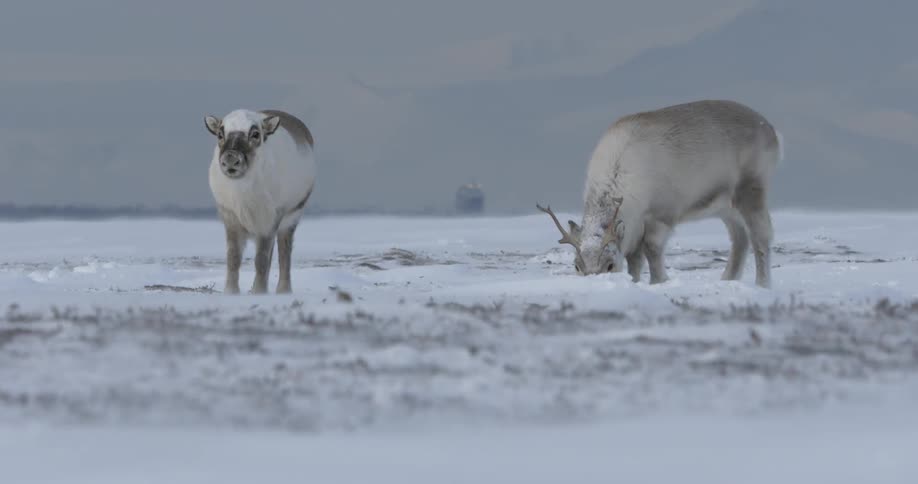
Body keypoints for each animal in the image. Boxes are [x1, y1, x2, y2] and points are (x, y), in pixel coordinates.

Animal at [204, 109, 316, 294]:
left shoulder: (269, 220)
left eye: (255, 134)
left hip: (292, 217)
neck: (243, 195)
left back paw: (283, 290)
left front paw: (259, 292)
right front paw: (231, 291)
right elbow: (233, 257)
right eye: (220, 134)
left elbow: (262, 259)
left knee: (284, 254)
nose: (230, 159)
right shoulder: (230, 217)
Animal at [537, 100, 784, 288]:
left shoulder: (661, 215)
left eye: (609, 265)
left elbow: (652, 250)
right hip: (726, 206)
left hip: (751, 189)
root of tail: (772, 131)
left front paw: (658, 281)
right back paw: (727, 280)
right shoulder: (634, 227)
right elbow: (634, 259)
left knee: (761, 235)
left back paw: (762, 284)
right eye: (577, 266)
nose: (593, 282)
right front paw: (634, 281)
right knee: (740, 238)